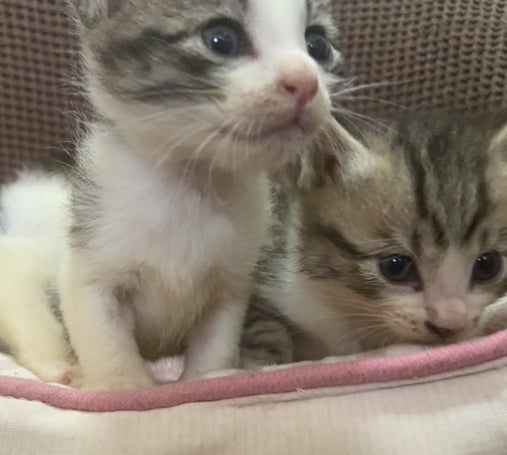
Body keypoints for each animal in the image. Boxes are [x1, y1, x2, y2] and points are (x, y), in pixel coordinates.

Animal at [22, 0, 347, 390]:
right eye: (220, 39)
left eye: (317, 45)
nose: (306, 82)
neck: (191, 189)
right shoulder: (90, 271)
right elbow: (108, 346)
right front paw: (126, 388)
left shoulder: (230, 289)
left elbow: (215, 348)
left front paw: (207, 380)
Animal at [241, 112, 507, 367]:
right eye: (396, 267)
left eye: (488, 265)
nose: (449, 325)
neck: (352, 307)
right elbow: (264, 325)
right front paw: (262, 363)